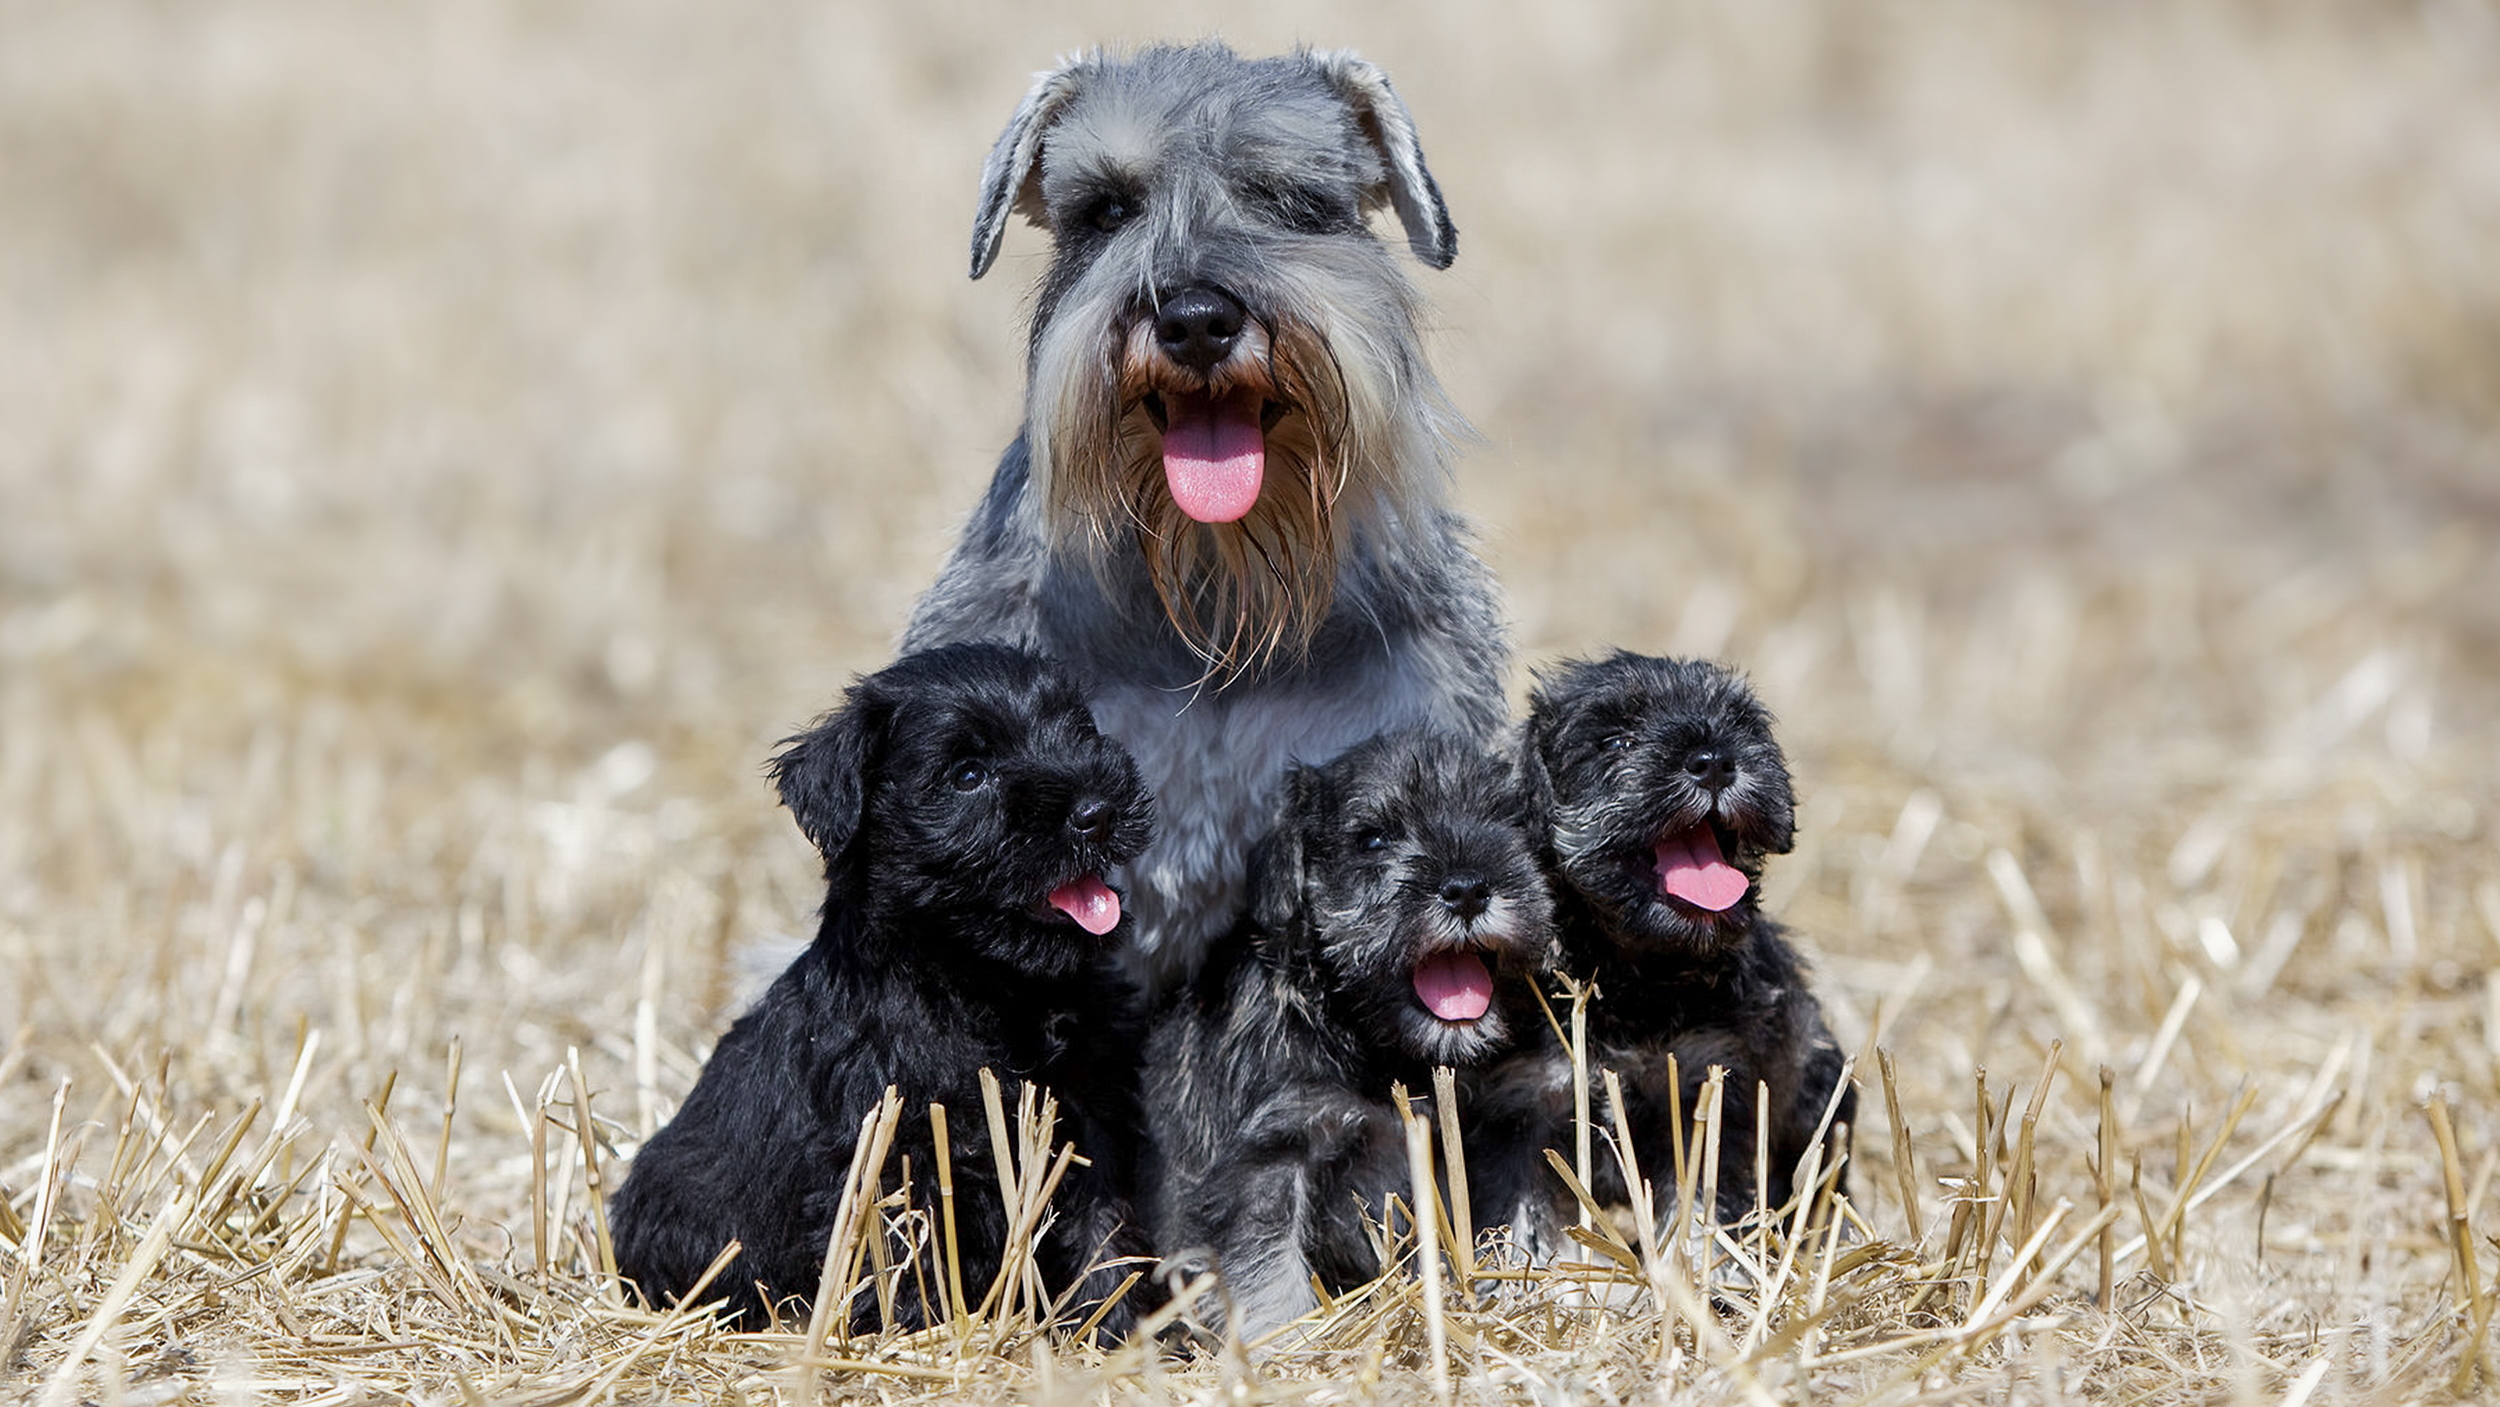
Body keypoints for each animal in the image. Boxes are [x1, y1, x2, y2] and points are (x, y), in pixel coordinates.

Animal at [610, 644, 1155, 1339]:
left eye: (1080, 731)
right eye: (969, 774)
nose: (1096, 810)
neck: (992, 989)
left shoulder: (1087, 1123)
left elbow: (1104, 1236)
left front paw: (1121, 1334)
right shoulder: (891, 1149)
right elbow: (900, 1254)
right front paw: (920, 1335)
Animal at [1145, 724, 1550, 1339]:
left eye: (1506, 822)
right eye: (1374, 840)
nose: (1468, 889)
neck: (1375, 1048)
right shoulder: (1266, 1163)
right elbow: (1268, 1277)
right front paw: (1286, 1345)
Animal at [1500, 659, 1860, 1234]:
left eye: (1742, 723)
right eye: (1616, 742)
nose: (1714, 762)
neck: (1632, 978)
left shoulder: (1706, 1085)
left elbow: (1699, 1209)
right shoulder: (1524, 1109)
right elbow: (1522, 1226)